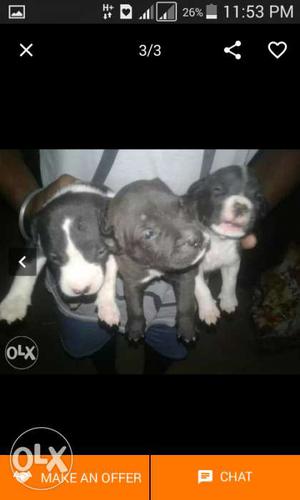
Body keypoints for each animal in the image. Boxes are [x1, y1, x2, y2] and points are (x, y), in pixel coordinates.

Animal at [0, 184, 119, 328]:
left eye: (101, 252)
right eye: (54, 258)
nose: (81, 289)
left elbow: (110, 272)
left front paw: (108, 306)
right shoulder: (36, 242)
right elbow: (27, 267)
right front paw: (13, 303)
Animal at [107, 178, 209, 342]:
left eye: (181, 207)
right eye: (149, 234)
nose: (196, 239)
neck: (156, 266)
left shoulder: (185, 276)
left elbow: (186, 303)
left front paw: (187, 328)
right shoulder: (132, 281)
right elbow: (134, 306)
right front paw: (135, 328)